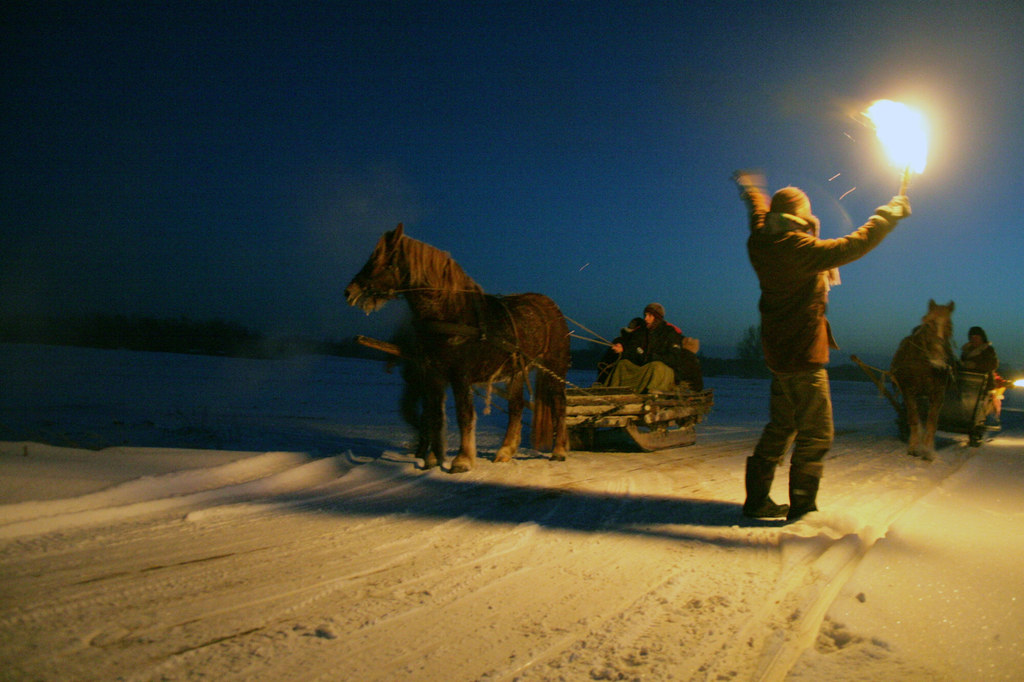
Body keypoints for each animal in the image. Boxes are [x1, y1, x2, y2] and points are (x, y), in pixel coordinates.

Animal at [342, 225, 569, 471]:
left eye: (382, 260)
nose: (349, 291)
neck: (451, 313)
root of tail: (551, 306)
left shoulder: (461, 375)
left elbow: (464, 414)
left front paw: (463, 460)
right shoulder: (432, 374)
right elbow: (435, 416)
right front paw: (432, 459)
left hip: (555, 368)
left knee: (559, 405)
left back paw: (559, 451)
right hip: (517, 371)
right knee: (516, 408)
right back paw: (505, 452)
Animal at [892, 296, 954, 456]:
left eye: (949, 326)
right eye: (929, 324)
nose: (938, 360)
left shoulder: (938, 394)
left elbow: (932, 421)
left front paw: (928, 450)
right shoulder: (908, 392)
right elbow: (914, 418)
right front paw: (914, 446)